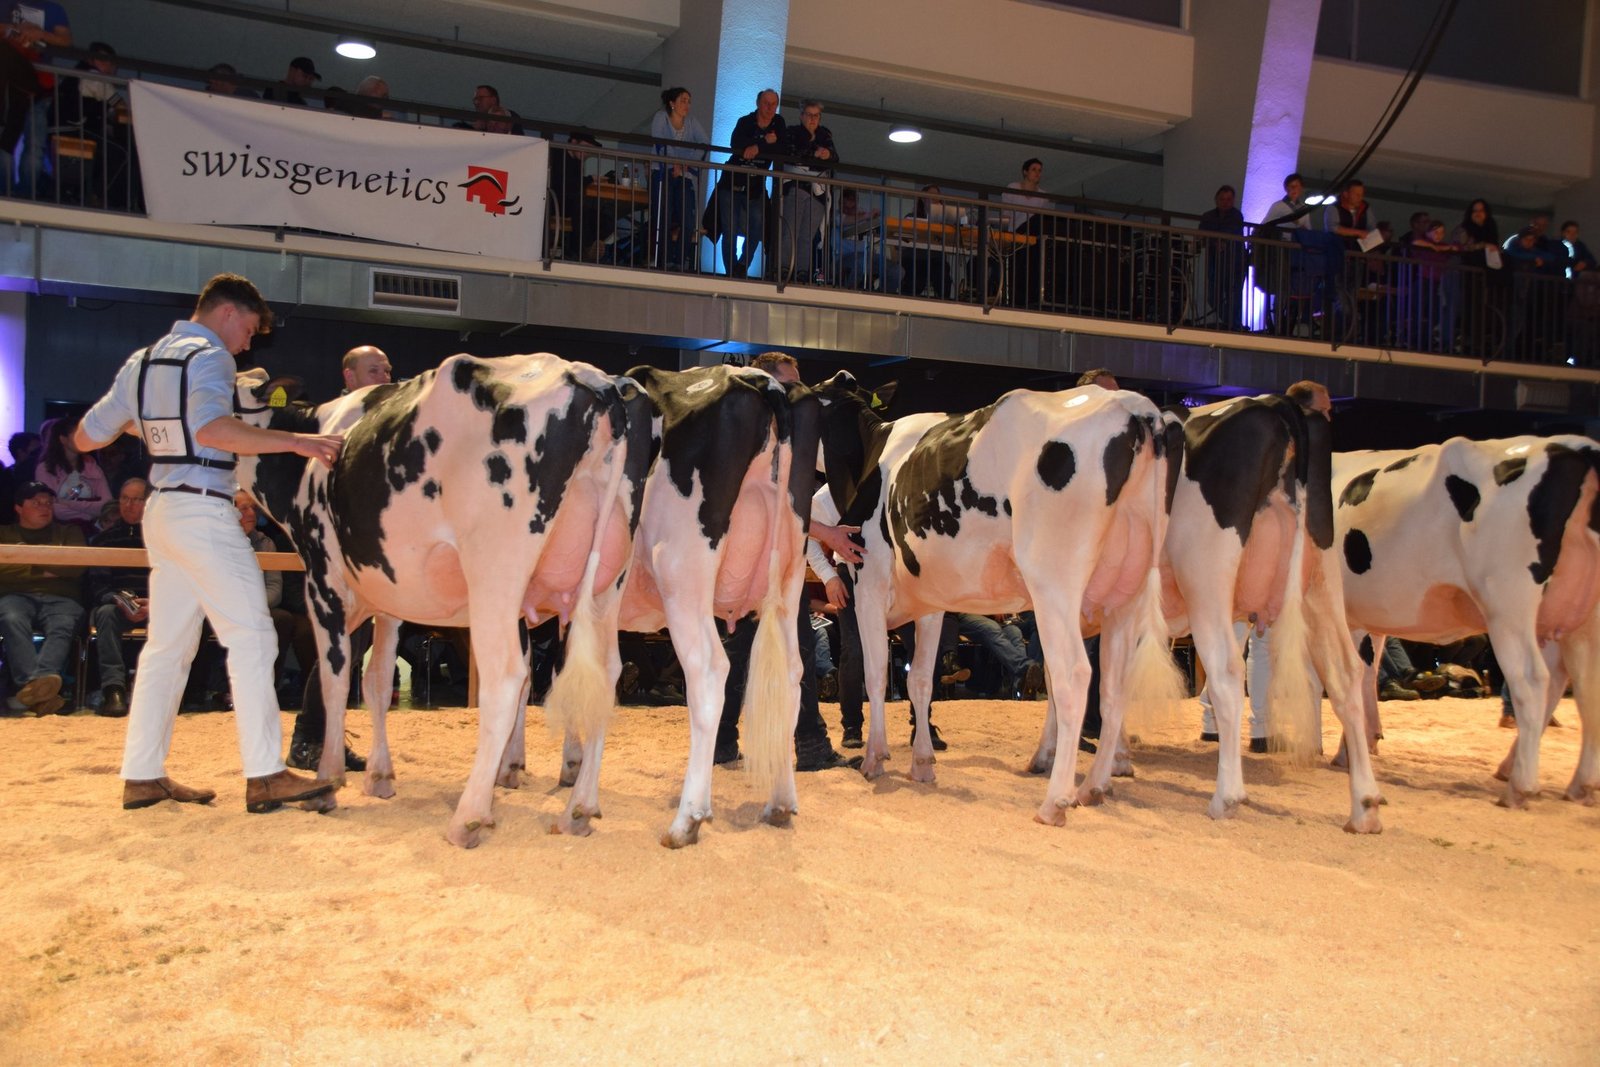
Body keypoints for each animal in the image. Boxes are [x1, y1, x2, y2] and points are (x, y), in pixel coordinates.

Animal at [233, 353, 653, 847]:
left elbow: (334, 680)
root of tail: (591, 378)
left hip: (495, 571)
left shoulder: (322, 578)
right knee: (603, 674)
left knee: (506, 678)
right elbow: (376, 681)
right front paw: (378, 776)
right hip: (607, 580)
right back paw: (579, 809)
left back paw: (469, 816)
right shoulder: (390, 598)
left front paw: (328, 781)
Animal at [816, 372, 1186, 824]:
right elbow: (920, 680)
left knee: (1074, 675)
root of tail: (1139, 409)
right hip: (1125, 593)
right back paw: (1094, 787)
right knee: (1113, 684)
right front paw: (922, 763)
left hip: (1054, 581)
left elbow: (876, 675)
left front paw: (875, 758)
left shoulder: (868, 584)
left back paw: (1055, 801)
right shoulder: (931, 604)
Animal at [1026, 387, 1384, 833]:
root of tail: (1277, 403)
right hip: (1321, 580)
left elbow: (1066, 682)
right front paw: (1112, 761)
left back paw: (1225, 798)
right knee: (1347, 674)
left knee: (1228, 671)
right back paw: (1364, 806)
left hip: (1206, 575)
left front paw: (1063, 758)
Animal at [1331, 435, 1600, 807]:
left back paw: (1520, 785)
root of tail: (1577, 447)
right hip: (1581, 617)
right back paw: (1578, 783)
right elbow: (1365, 677)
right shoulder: (1363, 617)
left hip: (1508, 604)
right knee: (1586, 685)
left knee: (1533, 680)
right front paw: (1358, 746)